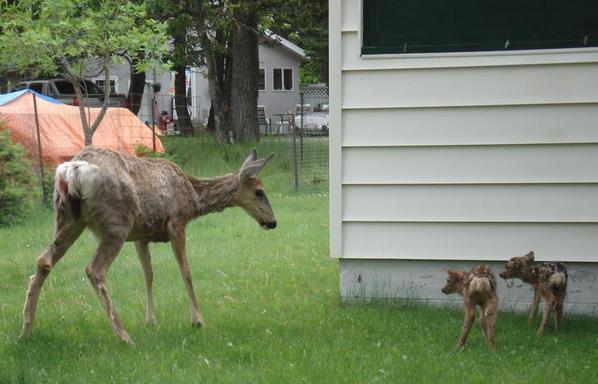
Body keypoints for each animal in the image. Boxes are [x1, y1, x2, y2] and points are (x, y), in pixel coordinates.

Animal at [19, 146, 278, 342]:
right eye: (259, 191)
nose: (273, 222)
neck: (193, 196)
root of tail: (72, 171)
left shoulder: (141, 236)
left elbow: (148, 275)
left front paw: (151, 321)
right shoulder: (177, 223)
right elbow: (186, 272)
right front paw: (197, 320)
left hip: (68, 219)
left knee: (43, 260)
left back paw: (26, 331)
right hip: (116, 223)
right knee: (95, 269)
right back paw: (124, 336)